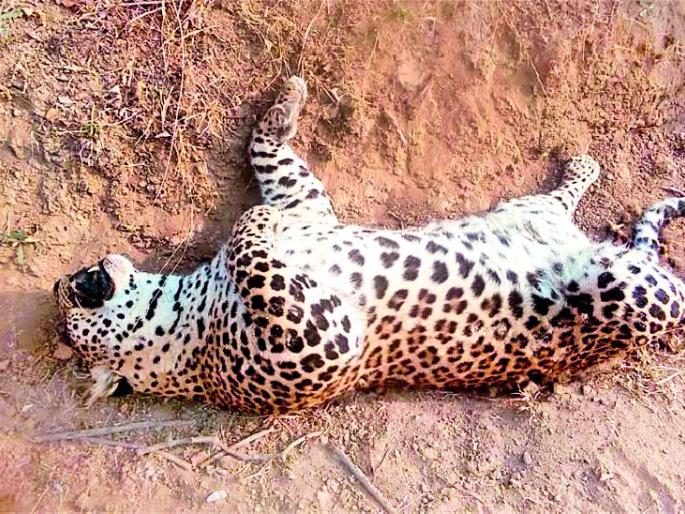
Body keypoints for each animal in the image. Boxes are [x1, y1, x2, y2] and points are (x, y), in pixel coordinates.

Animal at [54, 76, 685, 413]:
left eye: (70, 294)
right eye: (70, 310)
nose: (66, 279)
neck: (183, 307)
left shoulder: (307, 203)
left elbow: (267, 157)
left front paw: (287, 100)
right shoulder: (322, 338)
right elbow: (249, 240)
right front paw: (255, 221)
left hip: (526, 210)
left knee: (568, 191)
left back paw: (582, 165)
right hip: (632, 291)